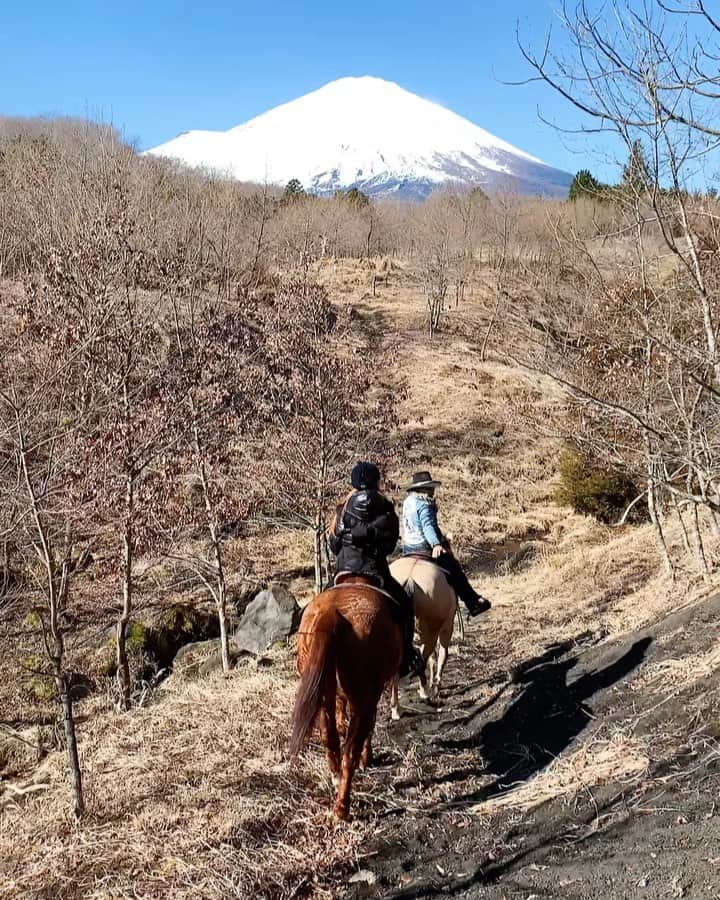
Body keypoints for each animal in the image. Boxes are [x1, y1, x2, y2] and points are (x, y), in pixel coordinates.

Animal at [286, 576, 402, 824]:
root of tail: (331, 613)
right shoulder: (371, 696)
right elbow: (368, 729)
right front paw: (368, 758)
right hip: (363, 697)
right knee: (350, 750)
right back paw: (342, 807)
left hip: (322, 693)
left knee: (329, 737)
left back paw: (335, 777)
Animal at [388, 556, 456, 716]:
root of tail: (410, 578)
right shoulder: (447, 627)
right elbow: (442, 655)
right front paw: (435, 685)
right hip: (432, 631)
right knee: (423, 659)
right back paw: (425, 691)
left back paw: (396, 708)